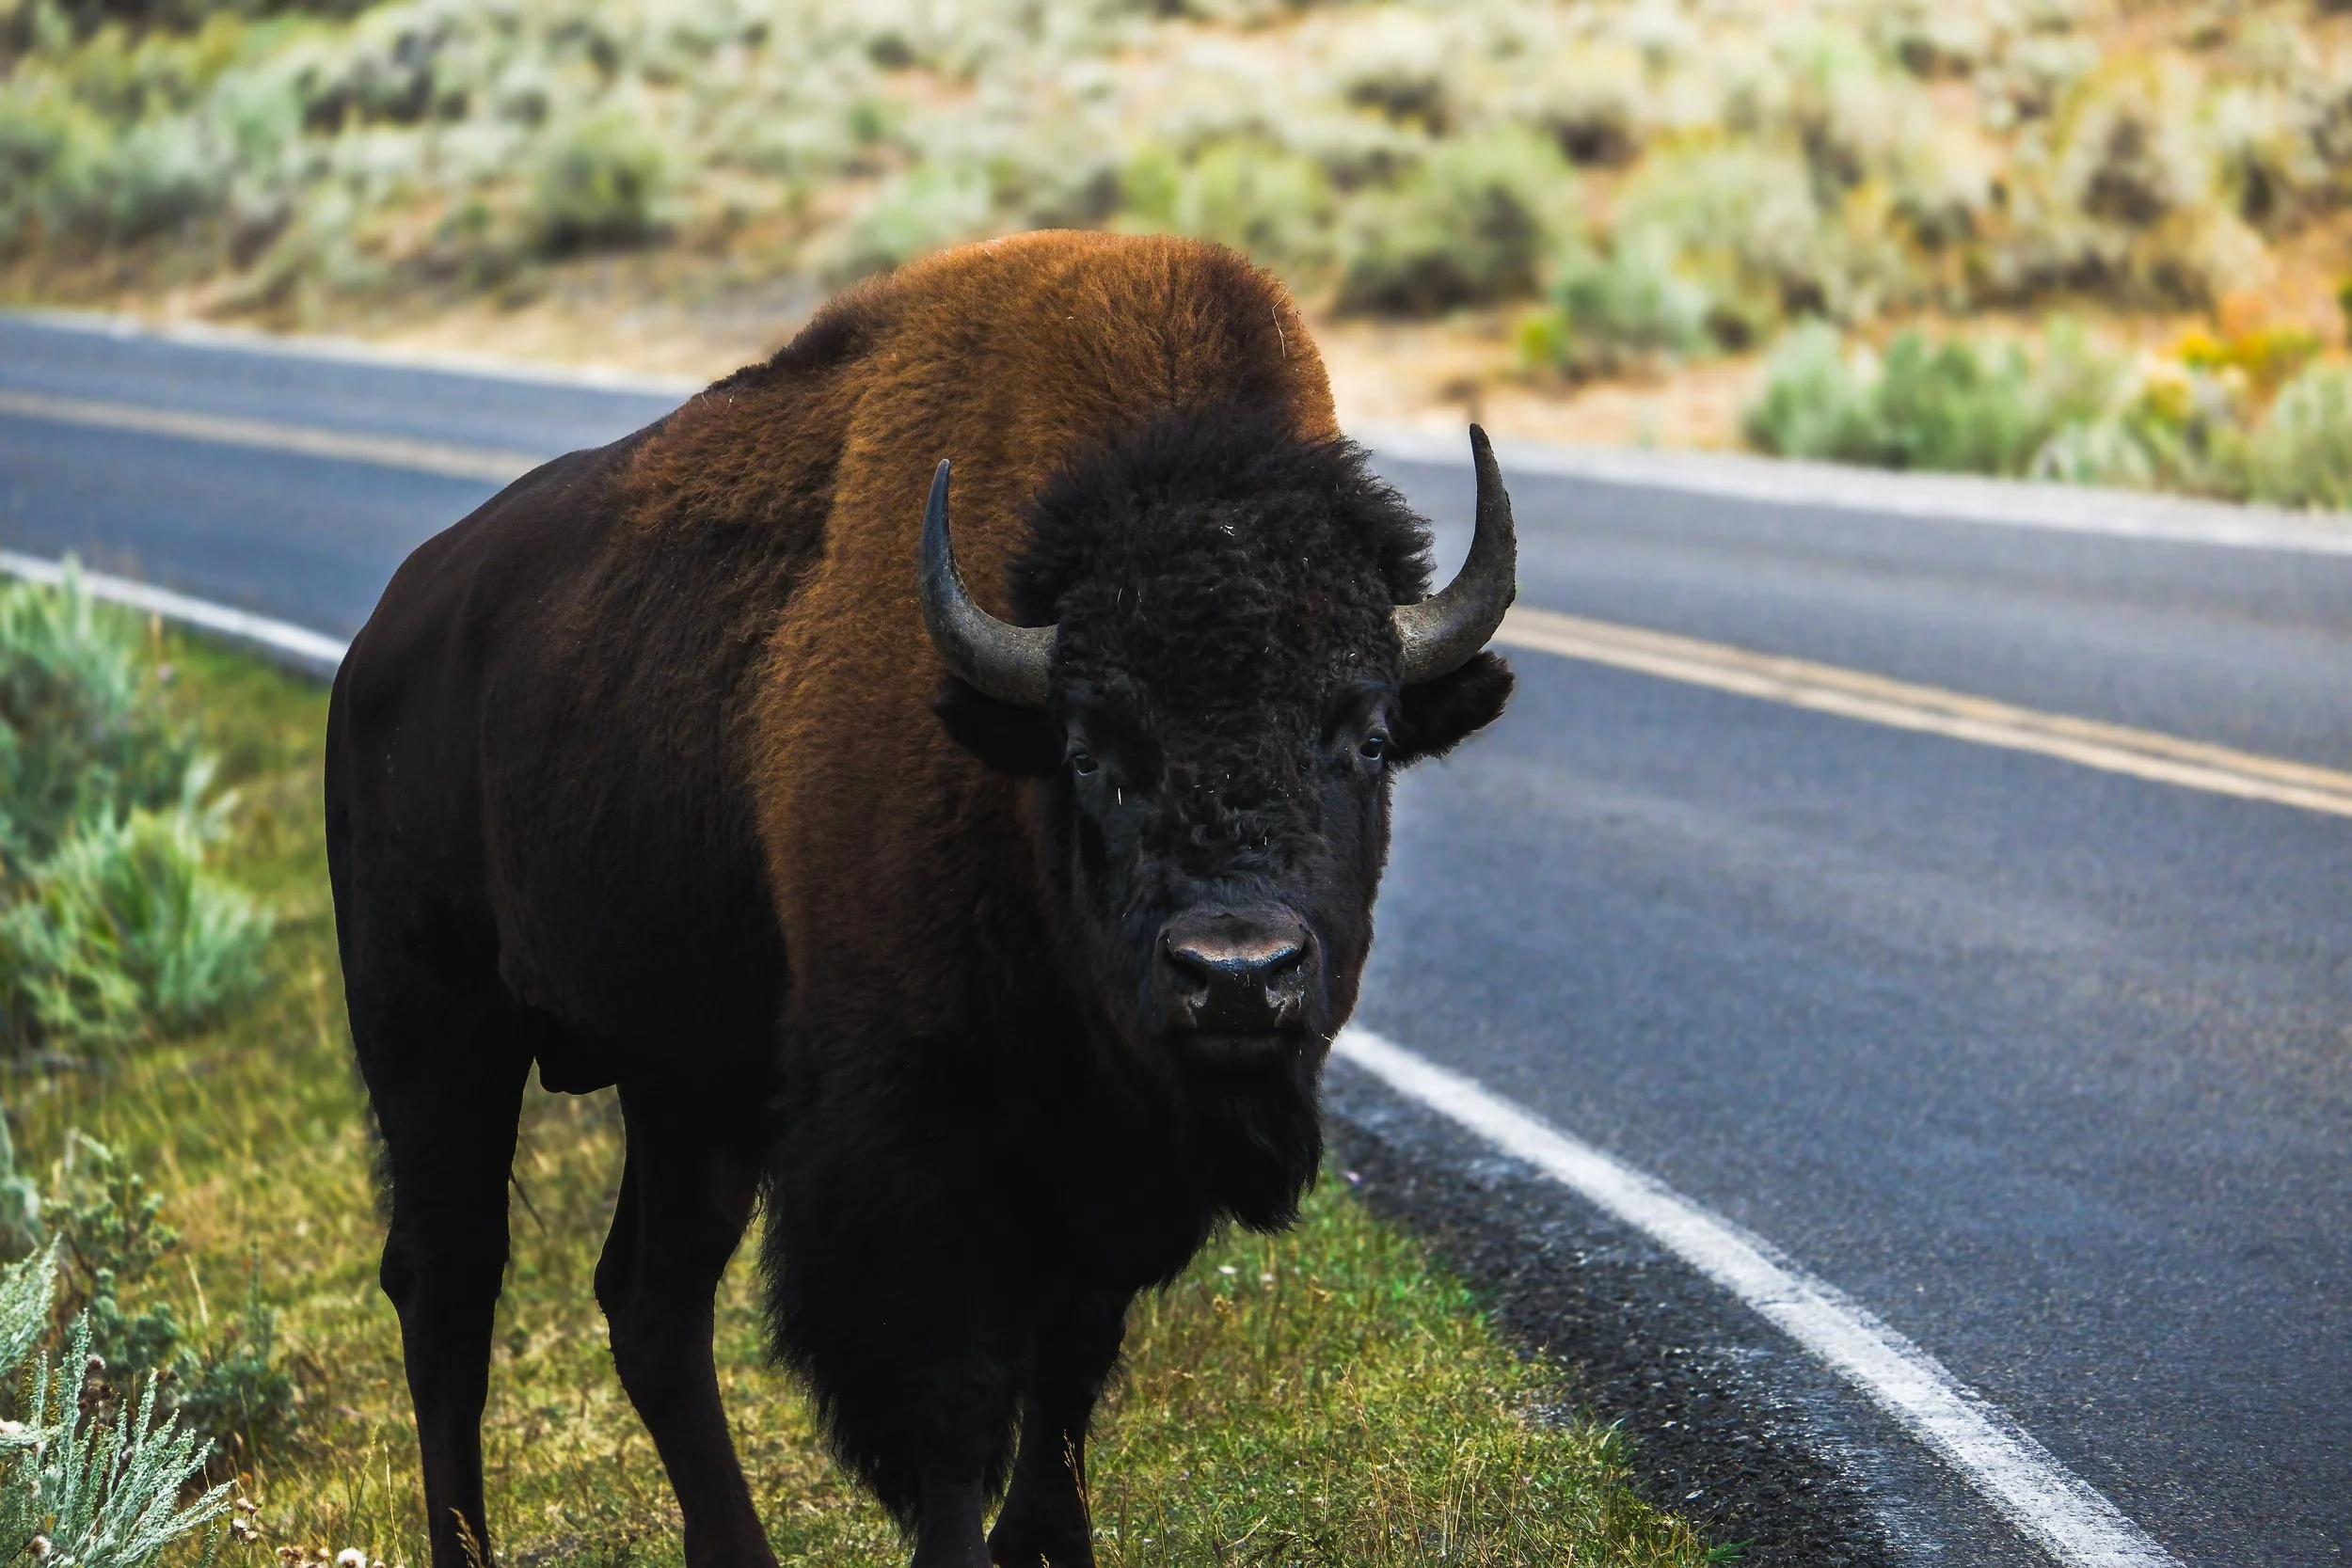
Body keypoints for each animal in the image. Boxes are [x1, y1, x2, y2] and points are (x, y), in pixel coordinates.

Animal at [325, 230, 1515, 1568]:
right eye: (1090, 749)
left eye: (1366, 735)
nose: (1236, 975)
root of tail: (386, 636)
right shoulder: (909, 1147)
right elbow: (950, 1401)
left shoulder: (1105, 1157)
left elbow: (1069, 1366)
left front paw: (1050, 1542)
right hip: (436, 1033)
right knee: (449, 1286)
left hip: (685, 1077)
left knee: (650, 1301)